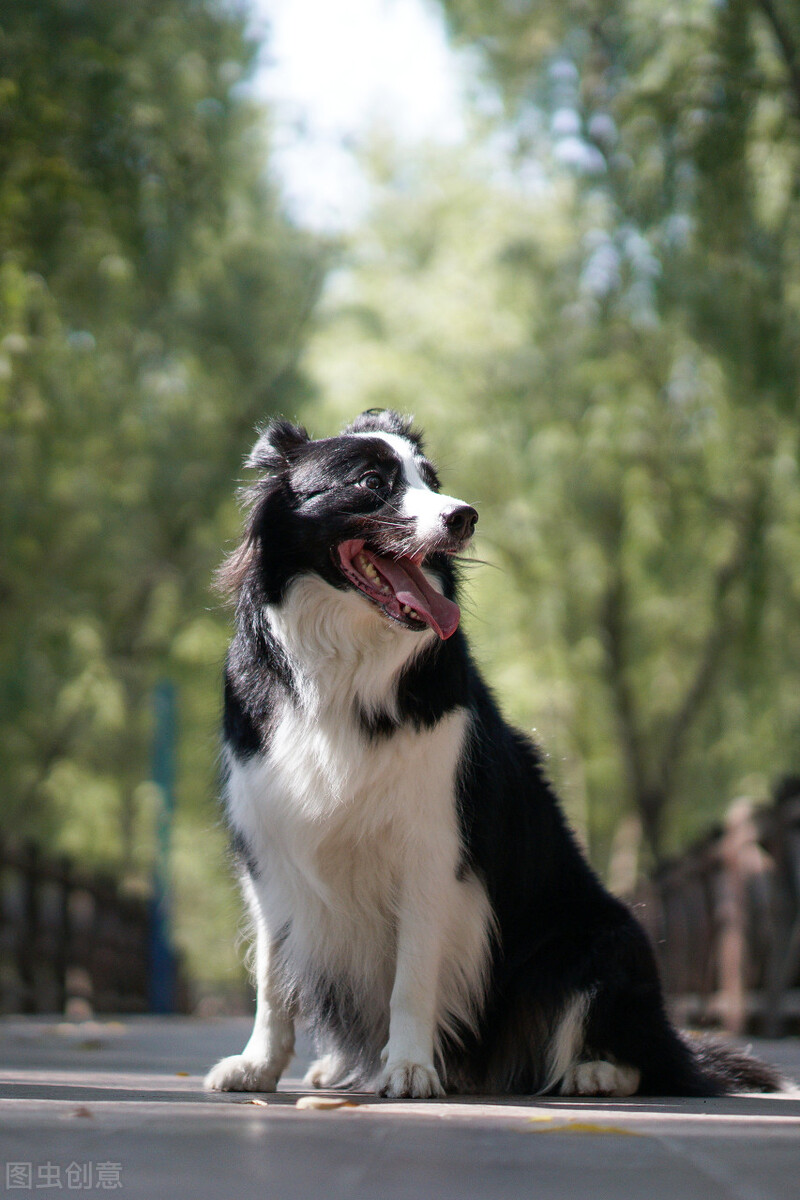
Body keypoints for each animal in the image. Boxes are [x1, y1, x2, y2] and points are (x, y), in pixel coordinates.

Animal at [205, 410, 782, 1099]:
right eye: (372, 481)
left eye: (432, 480)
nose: (465, 516)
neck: (344, 663)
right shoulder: (268, 846)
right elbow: (272, 979)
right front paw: (258, 1067)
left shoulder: (431, 847)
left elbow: (412, 975)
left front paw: (409, 1068)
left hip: (605, 937)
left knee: (643, 1052)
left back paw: (593, 1071)